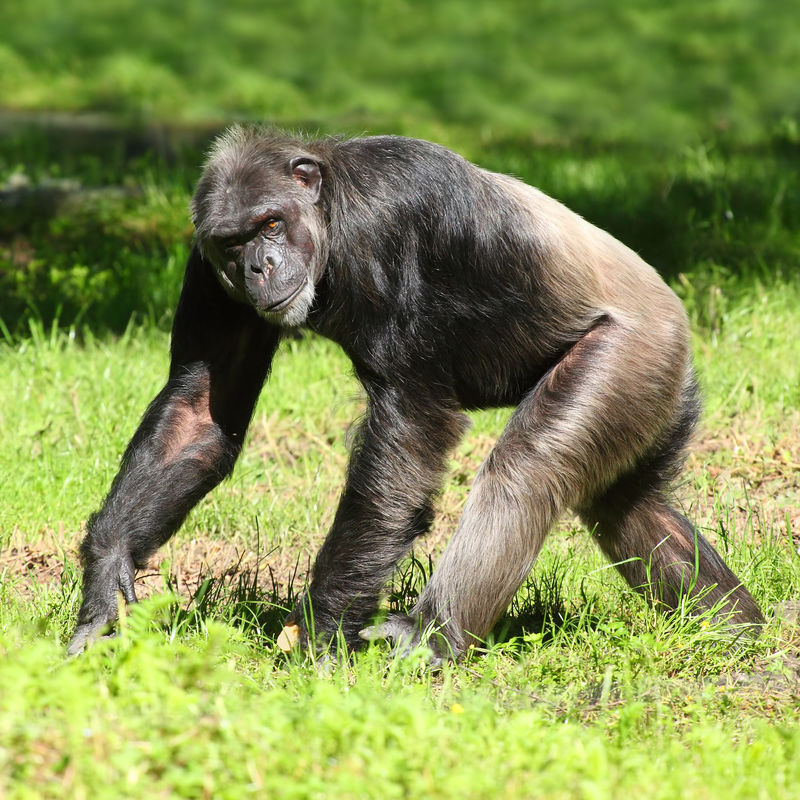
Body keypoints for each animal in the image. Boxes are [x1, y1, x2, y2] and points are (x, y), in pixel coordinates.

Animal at [65, 128, 760, 660]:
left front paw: (321, 636)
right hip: (651, 390)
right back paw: (733, 629)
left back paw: (432, 637)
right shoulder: (208, 272)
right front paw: (106, 578)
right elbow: (200, 414)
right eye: (234, 243)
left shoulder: (399, 224)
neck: (336, 222)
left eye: (271, 223)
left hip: (626, 354)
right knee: (629, 505)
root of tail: (676, 323)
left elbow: (407, 436)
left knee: (526, 472)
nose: (259, 265)